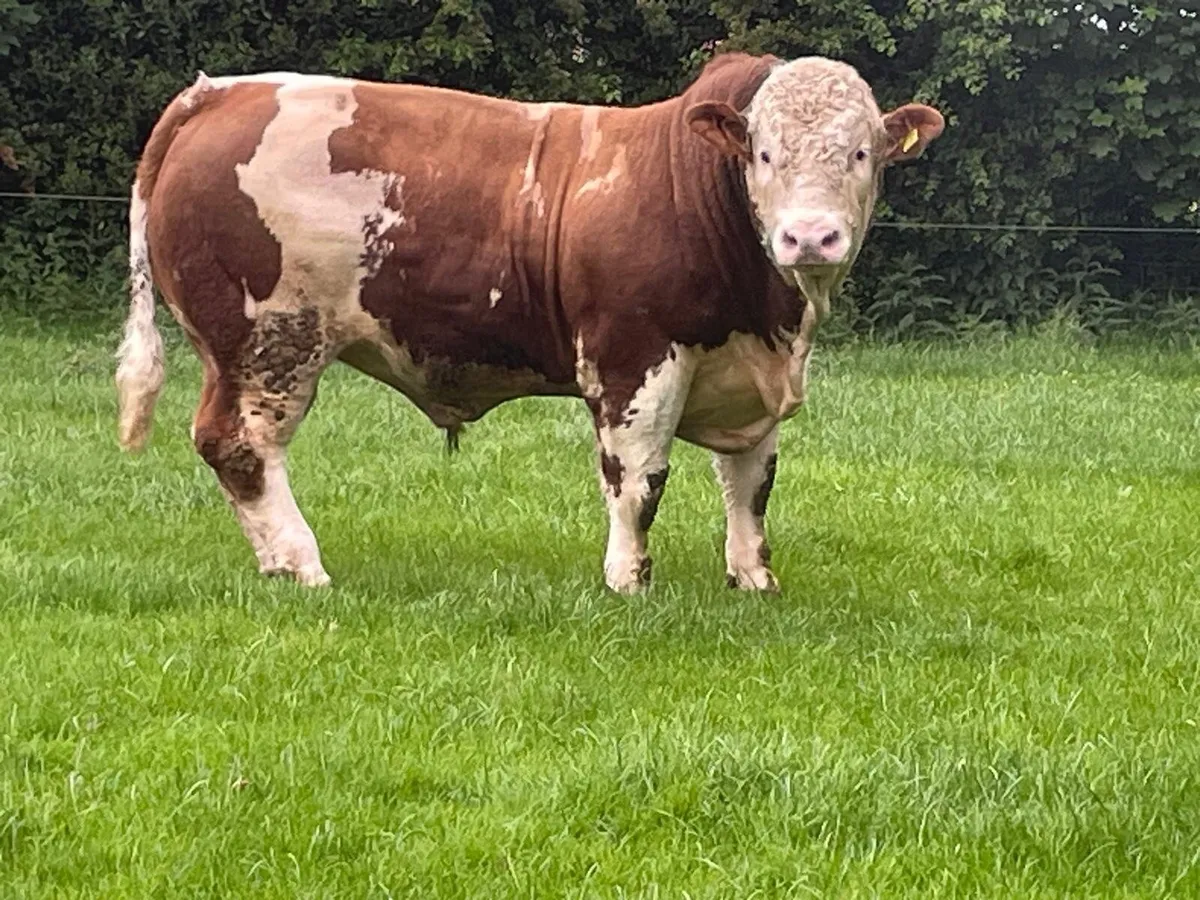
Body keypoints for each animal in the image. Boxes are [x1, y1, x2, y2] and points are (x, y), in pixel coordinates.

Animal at [115, 53, 943, 593]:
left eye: (861, 153)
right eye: (764, 154)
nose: (809, 236)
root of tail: (220, 93)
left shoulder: (749, 378)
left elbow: (751, 484)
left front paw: (752, 578)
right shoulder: (633, 358)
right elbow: (639, 479)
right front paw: (629, 580)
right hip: (269, 339)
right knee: (240, 444)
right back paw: (300, 563)